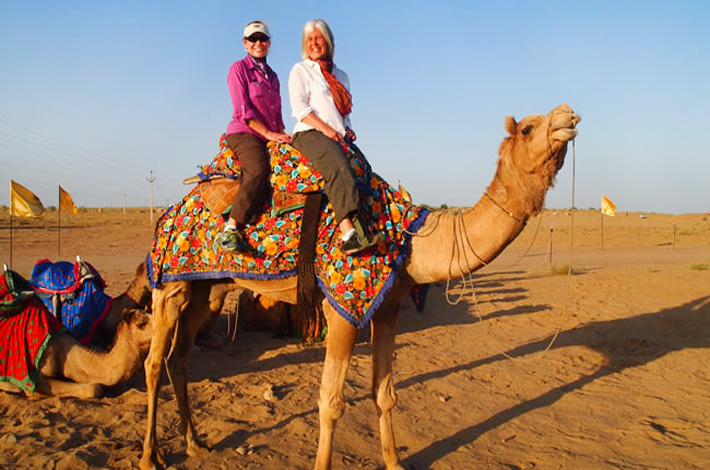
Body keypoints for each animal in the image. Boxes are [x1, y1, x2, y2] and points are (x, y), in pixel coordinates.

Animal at [138, 103, 580, 470]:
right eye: (528, 128)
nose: (568, 114)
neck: (408, 238)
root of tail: (175, 207)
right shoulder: (343, 309)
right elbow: (330, 403)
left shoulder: (388, 308)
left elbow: (385, 393)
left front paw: (395, 462)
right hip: (169, 281)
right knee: (154, 362)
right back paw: (149, 458)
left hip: (206, 288)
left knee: (179, 358)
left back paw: (195, 445)